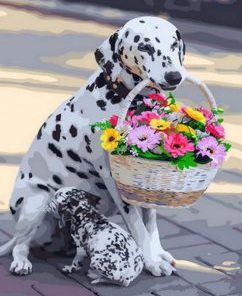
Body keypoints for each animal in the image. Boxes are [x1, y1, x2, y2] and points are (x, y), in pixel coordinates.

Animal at [0, 15, 187, 276]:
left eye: (173, 44)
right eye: (145, 47)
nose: (173, 76)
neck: (129, 98)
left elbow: (150, 222)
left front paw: (157, 254)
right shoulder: (116, 181)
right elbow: (138, 225)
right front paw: (151, 261)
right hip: (36, 203)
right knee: (20, 243)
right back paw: (21, 261)